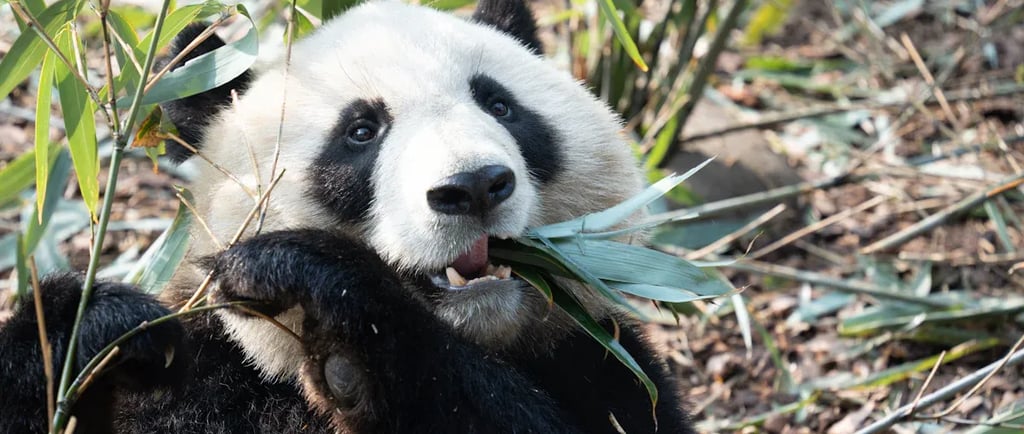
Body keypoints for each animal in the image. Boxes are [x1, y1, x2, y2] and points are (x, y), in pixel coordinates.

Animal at [0, 0, 698, 433]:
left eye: (500, 105)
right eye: (361, 131)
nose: (473, 187)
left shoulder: (603, 363)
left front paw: (321, 293)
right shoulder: (208, 370)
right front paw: (94, 326)